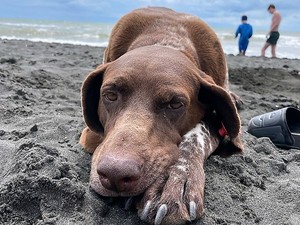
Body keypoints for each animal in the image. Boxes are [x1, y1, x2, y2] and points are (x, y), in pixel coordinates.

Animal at [80, 7, 244, 225]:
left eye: (175, 104)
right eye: (110, 95)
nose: (115, 174)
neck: (167, 38)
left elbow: (194, 139)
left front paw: (173, 180)